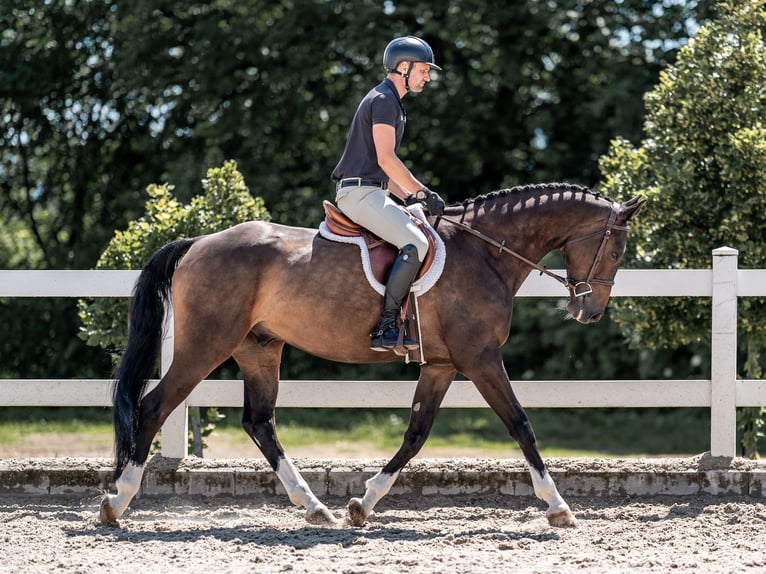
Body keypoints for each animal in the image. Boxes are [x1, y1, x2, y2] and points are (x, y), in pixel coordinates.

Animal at [99, 183, 645, 527]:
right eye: (618, 250)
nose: (589, 311)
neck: (485, 251)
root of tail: (199, 242)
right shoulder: (480, 357)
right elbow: (521, 424)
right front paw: (558, 506)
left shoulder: (443, 365)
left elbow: (416, 434)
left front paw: (363, 504)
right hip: (205, 346)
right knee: (153, 407)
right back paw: (116, 502)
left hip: (260, 348)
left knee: (260, 422)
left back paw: (315, 508)